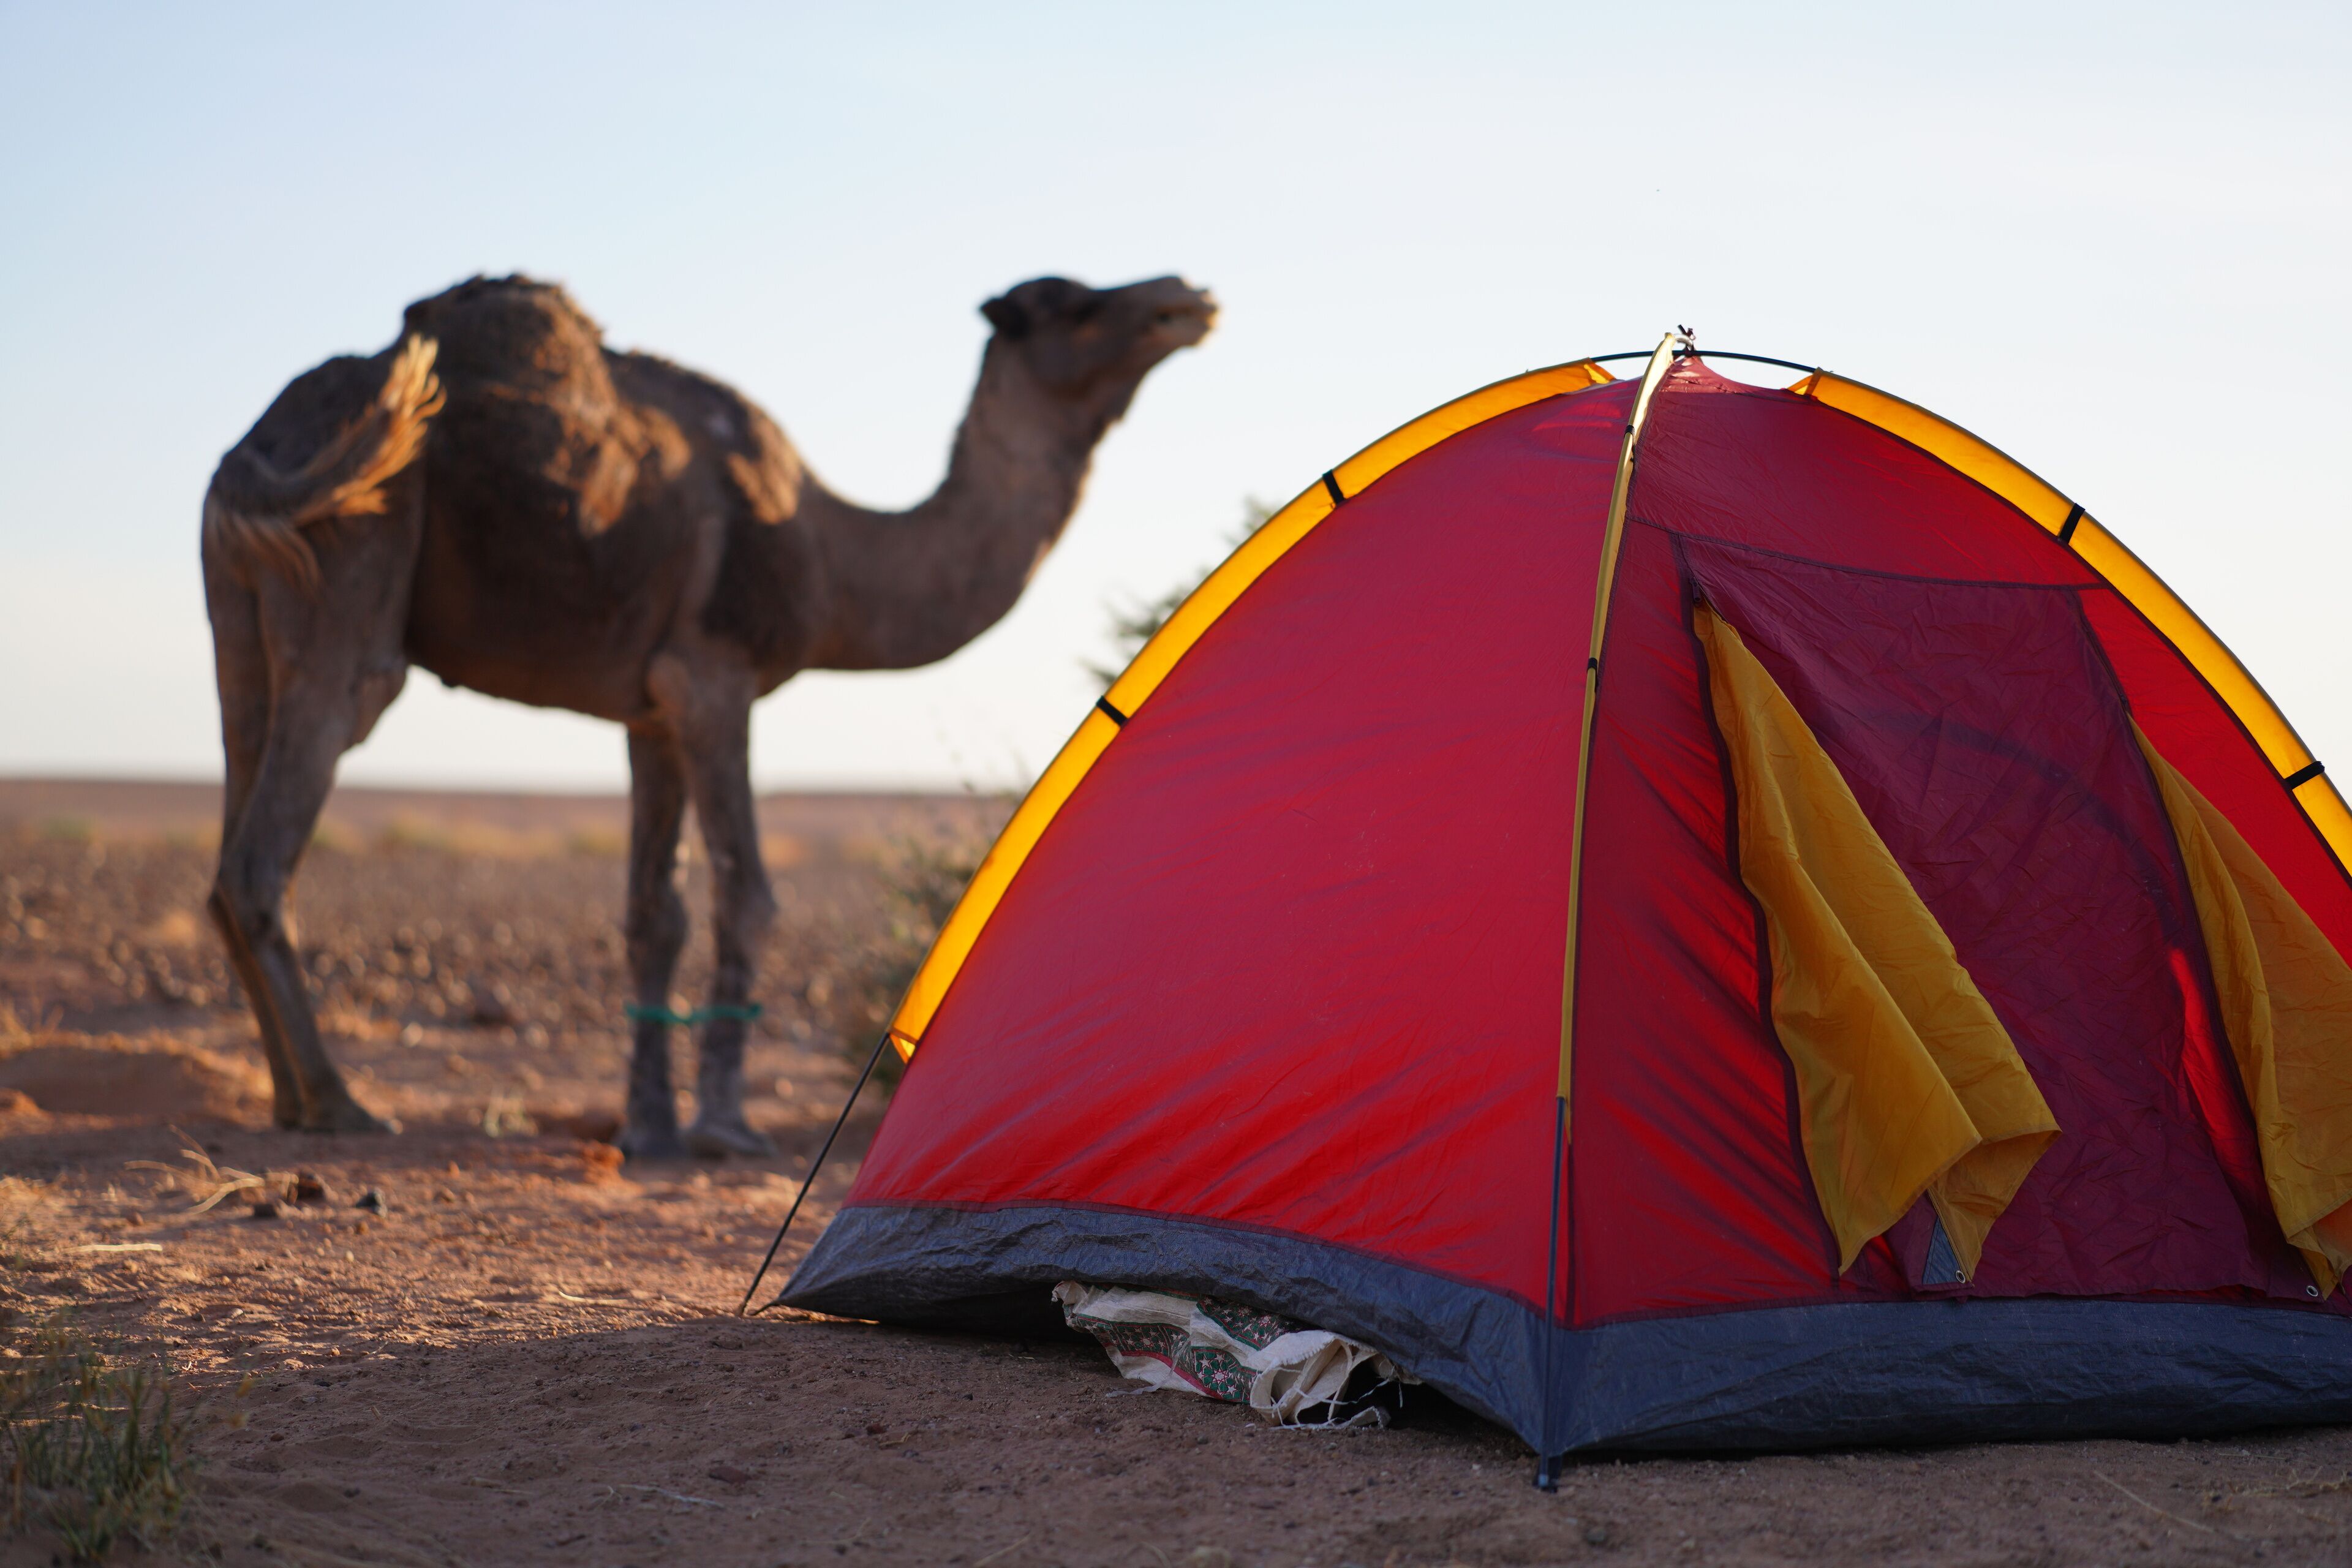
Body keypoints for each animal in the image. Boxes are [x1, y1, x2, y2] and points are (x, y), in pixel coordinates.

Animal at [201, 272, 1215, 1156]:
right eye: (1072, 304)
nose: (1185, 297)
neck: (838, 557)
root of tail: (248, 451)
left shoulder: (649, 709)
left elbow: (657, 911)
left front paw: (649, 1127)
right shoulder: (715, 680)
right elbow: (747, 896)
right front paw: (725, 1128)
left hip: (239, 608)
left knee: (231, 826)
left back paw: (289, 1100)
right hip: (357, 555)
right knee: (272, 840)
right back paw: (338, 1102)